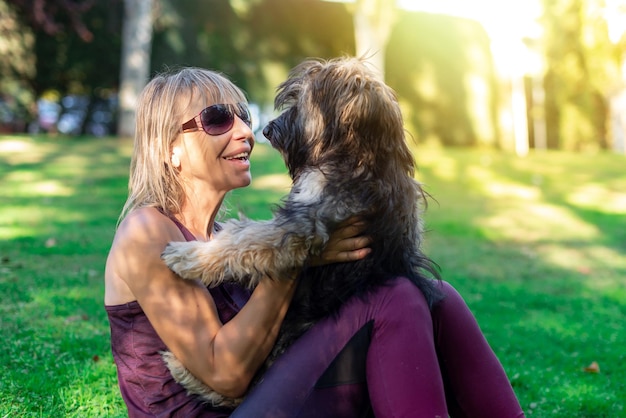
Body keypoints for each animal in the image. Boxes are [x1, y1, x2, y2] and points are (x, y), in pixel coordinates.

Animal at [158, 56, 438, 408]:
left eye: (301, 103)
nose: (265, 129)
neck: (363, 154)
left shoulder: (303, 225)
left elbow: (242, 239)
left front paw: (187, 255)